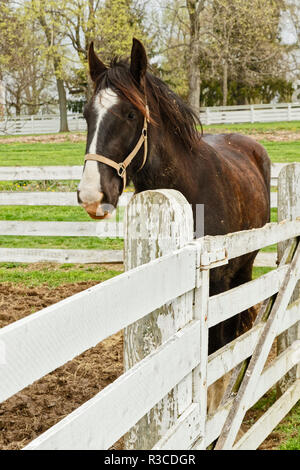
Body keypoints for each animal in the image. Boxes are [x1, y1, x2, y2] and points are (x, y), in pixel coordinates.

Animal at [77, 37, 270, 378]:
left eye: (130, 114)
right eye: (87, 114)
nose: (91, 195)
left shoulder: (216, 285)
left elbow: (215, 349)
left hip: (243, 266)